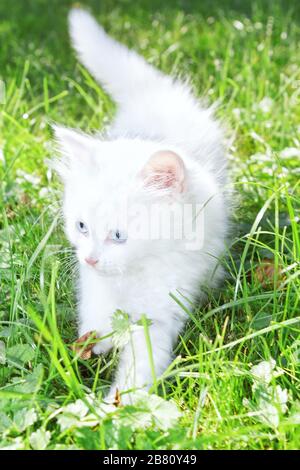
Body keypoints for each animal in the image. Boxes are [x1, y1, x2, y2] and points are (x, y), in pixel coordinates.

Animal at [53, 9, 230, 402]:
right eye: (81, 227)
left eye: (119, 235)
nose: (91, 258)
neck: (133, 273)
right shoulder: (94, 287)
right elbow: (95, 318)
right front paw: (94, 346)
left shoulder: (163, 311)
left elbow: (141, 364)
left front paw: (115, 406)